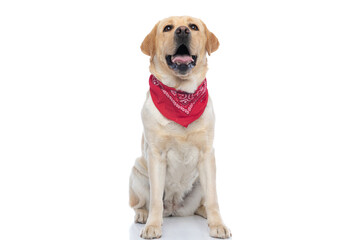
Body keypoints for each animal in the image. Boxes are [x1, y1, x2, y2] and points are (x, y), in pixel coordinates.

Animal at [128, 15, 232, 239]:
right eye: (167, 28)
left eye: (193, 26)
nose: (183, 31)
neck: (181, 94)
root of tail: (174, 208)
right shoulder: (156, 155)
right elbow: (155, 200)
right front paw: (152, 225)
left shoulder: (207, 154)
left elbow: (213, 198)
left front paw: (217, 224)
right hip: (137, 173)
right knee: (142, 203)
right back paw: (142, 215)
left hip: (200, 182)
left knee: (202, 203)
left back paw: (204, 213)